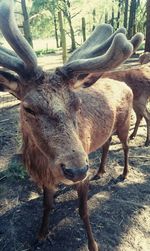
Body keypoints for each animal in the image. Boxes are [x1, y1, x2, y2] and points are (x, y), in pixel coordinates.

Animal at [0, 0, 143, 251]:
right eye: (28, 108)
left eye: (77, 103)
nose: (75, 169)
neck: (40, 164)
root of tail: (123, 85)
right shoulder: (46, 177)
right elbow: (46, 205)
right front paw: (41, 234)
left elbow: (83, 211)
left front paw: (93, 244)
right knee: (106, 145)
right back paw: (100, 171)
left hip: (124, 124)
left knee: (125, 146)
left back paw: (123, 173)